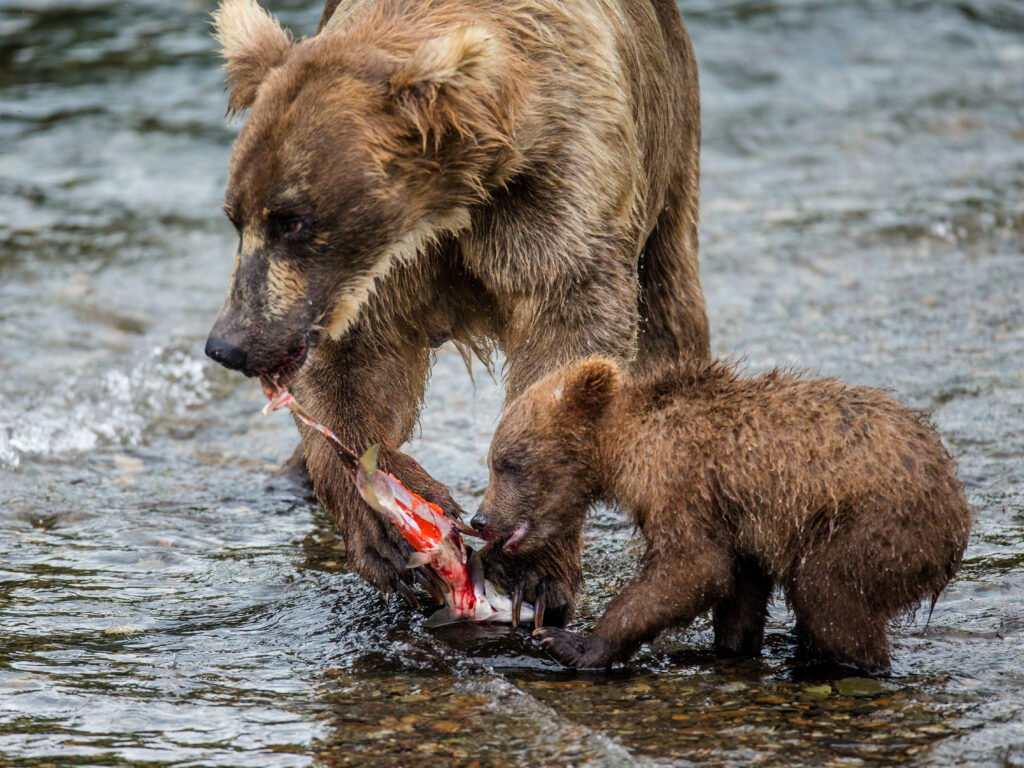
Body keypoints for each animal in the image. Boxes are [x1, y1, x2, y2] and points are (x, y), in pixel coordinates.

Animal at [203, 0, 708, 618]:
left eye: (293, 220)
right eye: (235, 216)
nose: (228, 344)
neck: (453, 202)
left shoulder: (560, 199)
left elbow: (572, 338)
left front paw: (533, 570)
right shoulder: (376, 278)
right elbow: (350, 373)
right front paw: (390, 524)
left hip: (671, 156)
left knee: (670, 320)